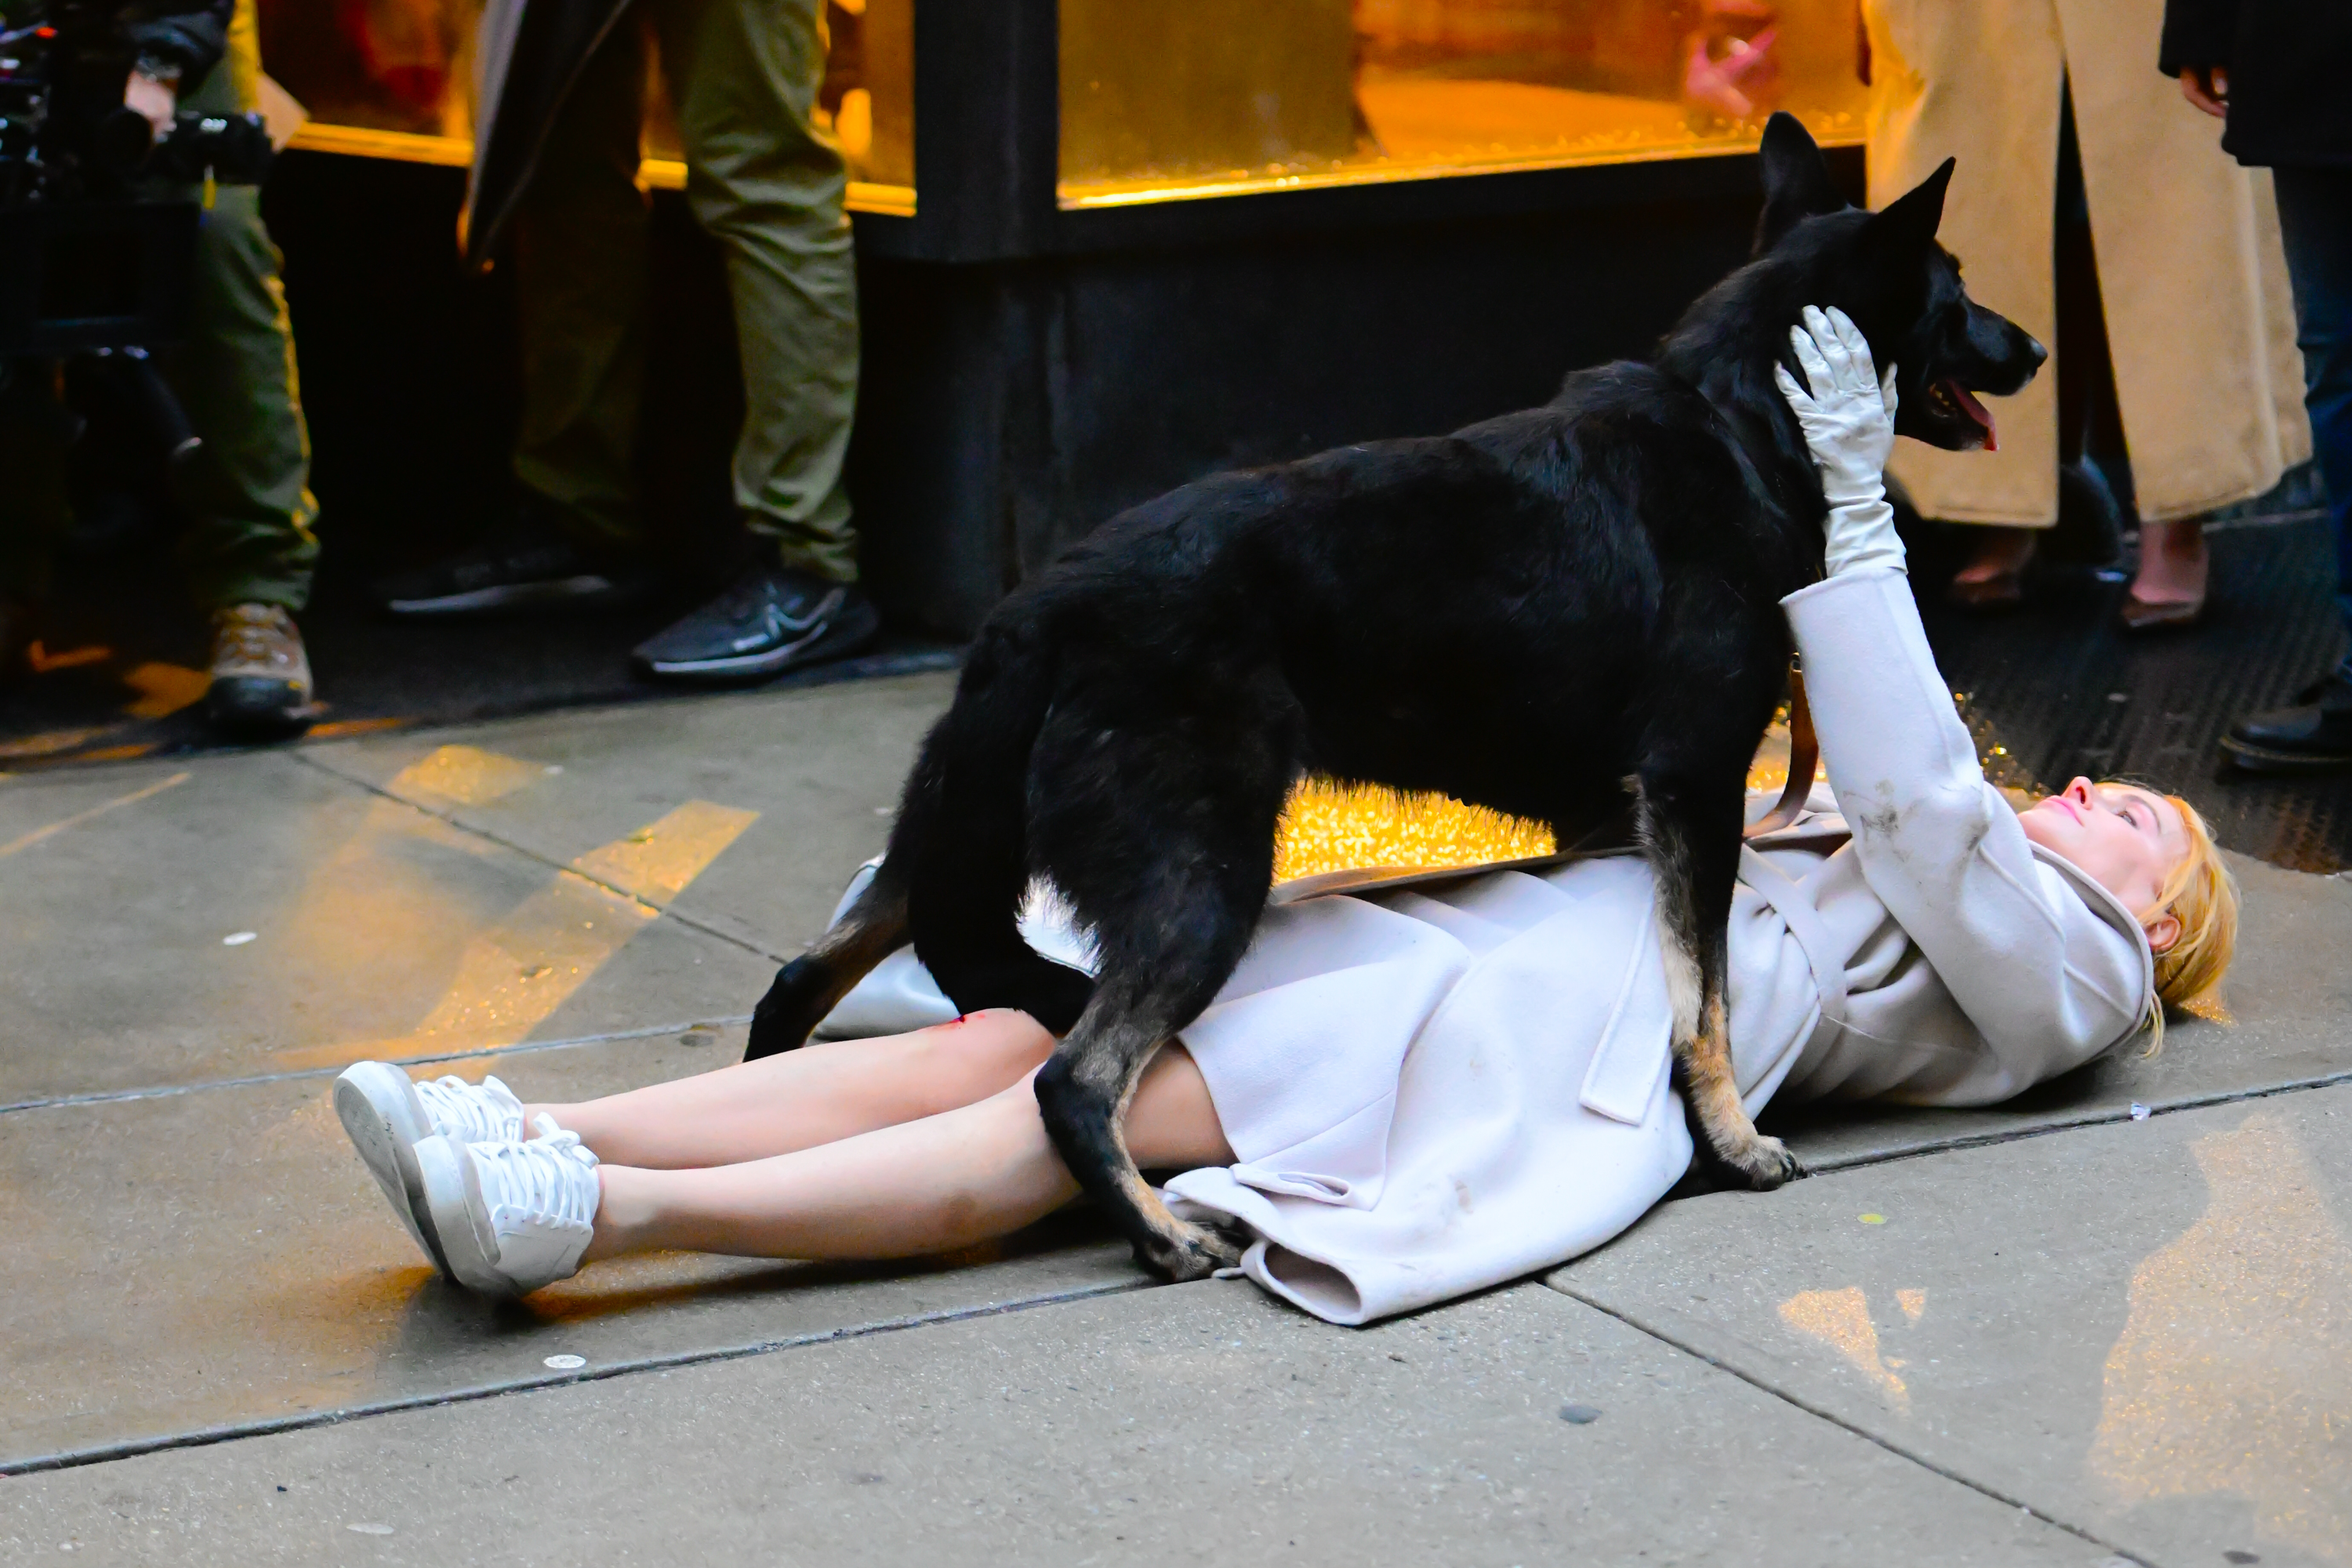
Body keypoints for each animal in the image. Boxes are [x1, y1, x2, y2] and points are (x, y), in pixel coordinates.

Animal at [748, 116, 2042, 1279]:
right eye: (1957, 293)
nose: (2031, 349)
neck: (1740, 414)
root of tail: (1039, 614)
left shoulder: (1614, 812)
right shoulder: (1694, 788)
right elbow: (1702, 1003)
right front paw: (1732, 1146)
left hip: (952, 844)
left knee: (808, 974)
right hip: (1202, 888)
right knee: (1072, 1081)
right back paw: (1161, 1236)